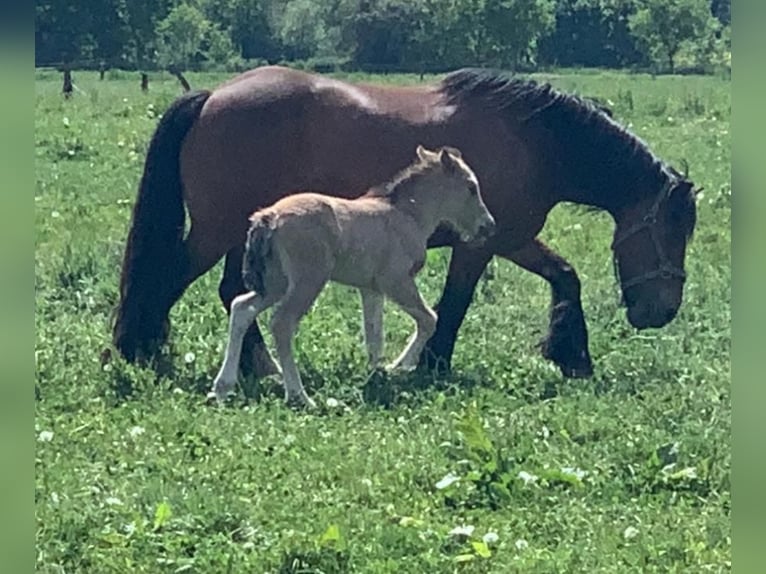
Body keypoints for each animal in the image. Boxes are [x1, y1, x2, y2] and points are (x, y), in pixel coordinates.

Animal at [210, 147, 498, 410]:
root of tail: (269, 217)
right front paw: (399, 366)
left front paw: (378, 375)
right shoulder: (396, 281)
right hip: (308, 280)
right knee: (282, 323)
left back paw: (222, 387)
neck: (407, 215)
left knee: (241, 307)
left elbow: (374, 334)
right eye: (471, 187)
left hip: (276, 283)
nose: (488, 226)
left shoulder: (371, 288)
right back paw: (299, 396)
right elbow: (429, 319)